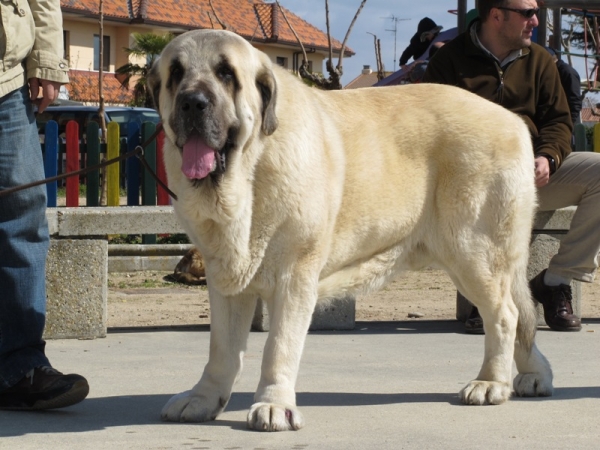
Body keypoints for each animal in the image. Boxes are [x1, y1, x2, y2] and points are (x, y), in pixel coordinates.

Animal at [149, 29, 552, 430]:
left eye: (226, 73)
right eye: (176, 74)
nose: (192, 102)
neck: (249, 169)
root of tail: (513, 121)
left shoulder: (294, 275)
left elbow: (279, 346)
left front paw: (274, 404)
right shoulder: (227, 278)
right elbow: (222, 348)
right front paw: (203, 398)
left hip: (474, 252)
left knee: (505, 315)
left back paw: (491, 383)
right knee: (519, 316)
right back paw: (535, 375)